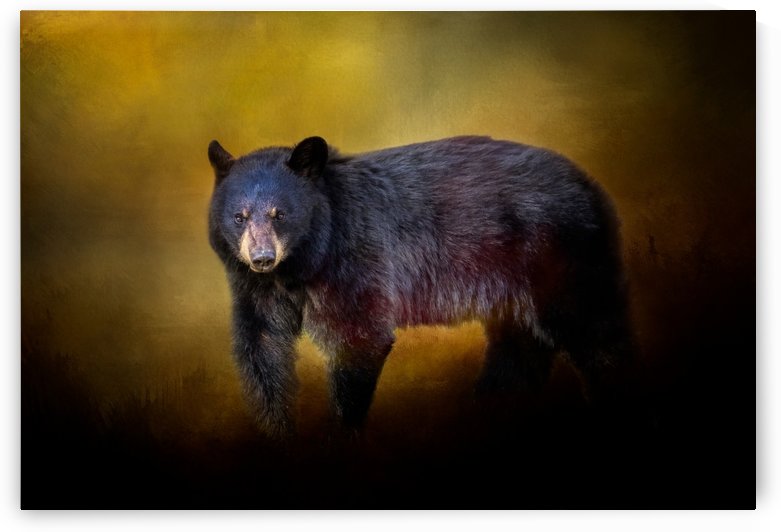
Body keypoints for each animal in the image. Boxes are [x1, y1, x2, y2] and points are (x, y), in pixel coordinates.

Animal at [207, 135, 632, 437]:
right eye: (239, 216)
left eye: (279, 214)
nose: (262, 257)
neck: (298, 266)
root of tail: (592, 186)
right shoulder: (253, 288)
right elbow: (262, 349)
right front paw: (277, 432)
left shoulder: (356, 260)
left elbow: (359, 336)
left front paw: (343, 434)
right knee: (518, 352)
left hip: (561, 256)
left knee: (596, 333)